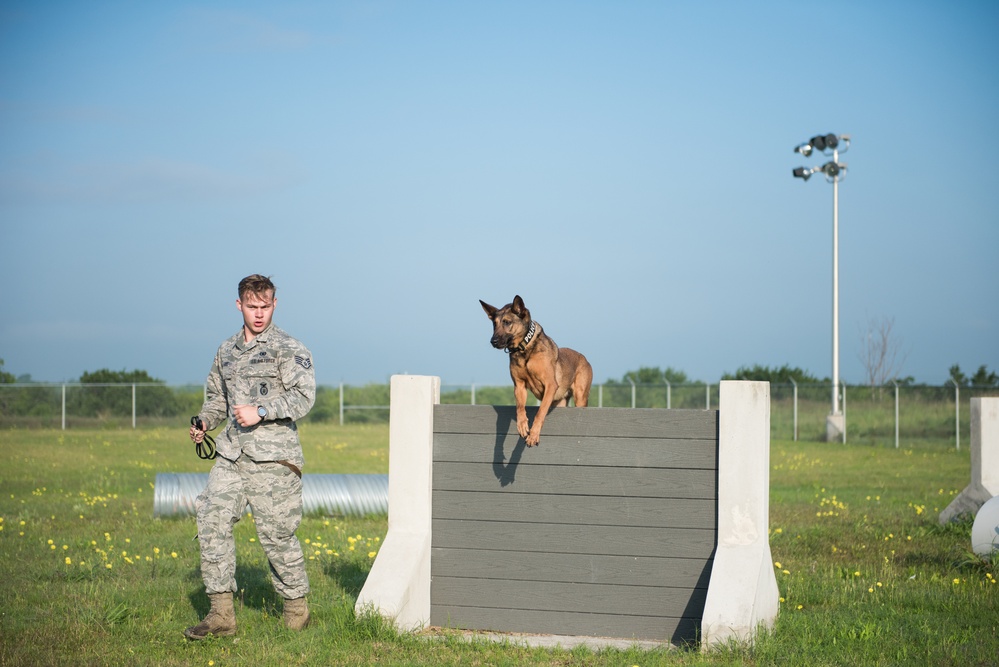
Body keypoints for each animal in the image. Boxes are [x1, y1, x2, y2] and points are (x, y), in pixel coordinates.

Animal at [478, 294, 588, 446]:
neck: (523, 348)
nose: (492, 341)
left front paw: (534, 434)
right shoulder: (519, 385)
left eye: (507, 322)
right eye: (495, 324)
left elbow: (540, 412)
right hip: (560, 403)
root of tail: (583, 357)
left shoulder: (550, 385)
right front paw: (522, 425)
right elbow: (520, 408)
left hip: (580, 397)